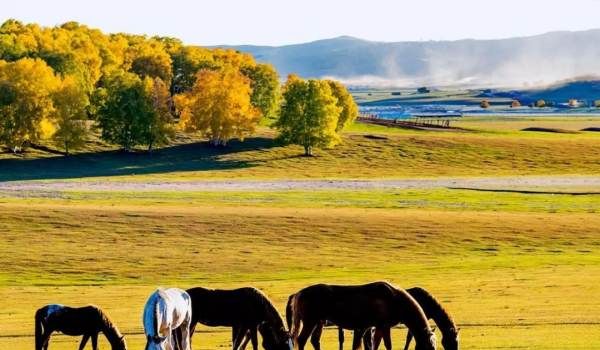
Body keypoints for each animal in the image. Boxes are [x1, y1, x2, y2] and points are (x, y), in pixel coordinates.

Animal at [288, 282, 434, 350]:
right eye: (430, 346)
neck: (394, 299)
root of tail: (299, 293)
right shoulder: (384, 326)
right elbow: (387, 345)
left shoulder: (378, 327)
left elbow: (376, 344)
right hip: (310, 322)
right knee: (301, 340)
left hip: (318, 322)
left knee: (313, 340)